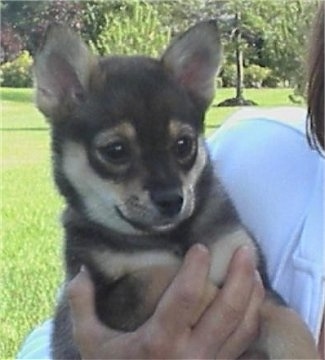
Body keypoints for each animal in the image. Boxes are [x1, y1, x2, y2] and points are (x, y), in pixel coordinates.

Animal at [33, 21, 316, 358]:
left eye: (184, 144)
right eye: (115, 151)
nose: (171, 199)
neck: (173, 239)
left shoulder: (256, 278)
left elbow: (289, 322)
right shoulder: (109, 293)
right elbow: (157, 277)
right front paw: (208, 296)